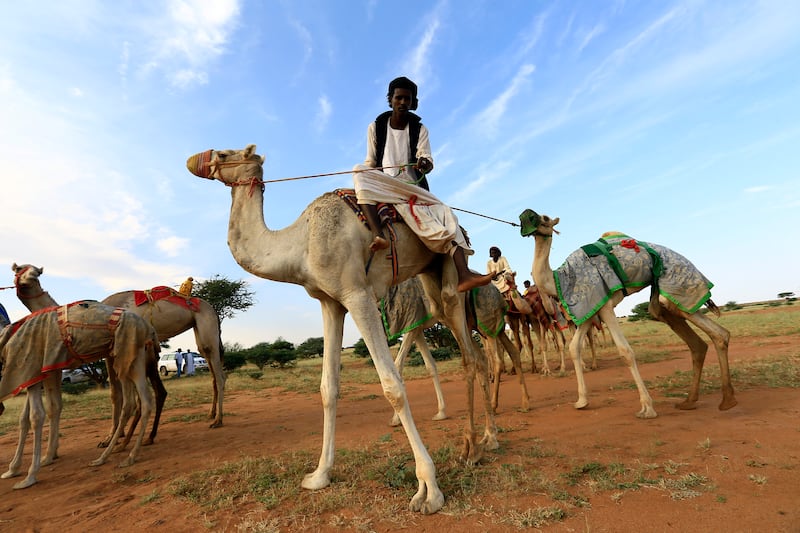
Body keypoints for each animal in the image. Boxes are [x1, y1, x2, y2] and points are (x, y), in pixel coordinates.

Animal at [0, 300, 159, 486]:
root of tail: (147, 327)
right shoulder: (34, 375)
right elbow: (25, 418)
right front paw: (13, 469)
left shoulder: (29, 366)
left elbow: (36, 416)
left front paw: (30, 476)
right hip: (135, 357)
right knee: (144, 401)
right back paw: (126, 456)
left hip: (125, 355)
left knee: (131, 402)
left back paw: (109, 455)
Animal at [188, 143, 500, 512]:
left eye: (223, 154)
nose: (193, 161)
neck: (302, 243)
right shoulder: (330, 303)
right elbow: (328, 388)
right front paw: (319, 475)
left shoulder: (358, 294)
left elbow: (392, 386)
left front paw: (428, 489)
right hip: (430, 279)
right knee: (474, 354)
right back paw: (482, 442)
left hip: (447, 267)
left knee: (469, 353)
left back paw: (477, 444)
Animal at [520, 210, 740, 418]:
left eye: (544, 217)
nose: (525, 216)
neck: (561, 279)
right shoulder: (589, 307)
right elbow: (574, 348)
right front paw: (582, 401)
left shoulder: (605, 306)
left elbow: (625, 351)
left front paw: (647, 408)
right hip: (661, 291)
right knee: (693, 333)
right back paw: (695, 401)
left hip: (677, 283)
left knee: (709, 328)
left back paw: (726, 400)